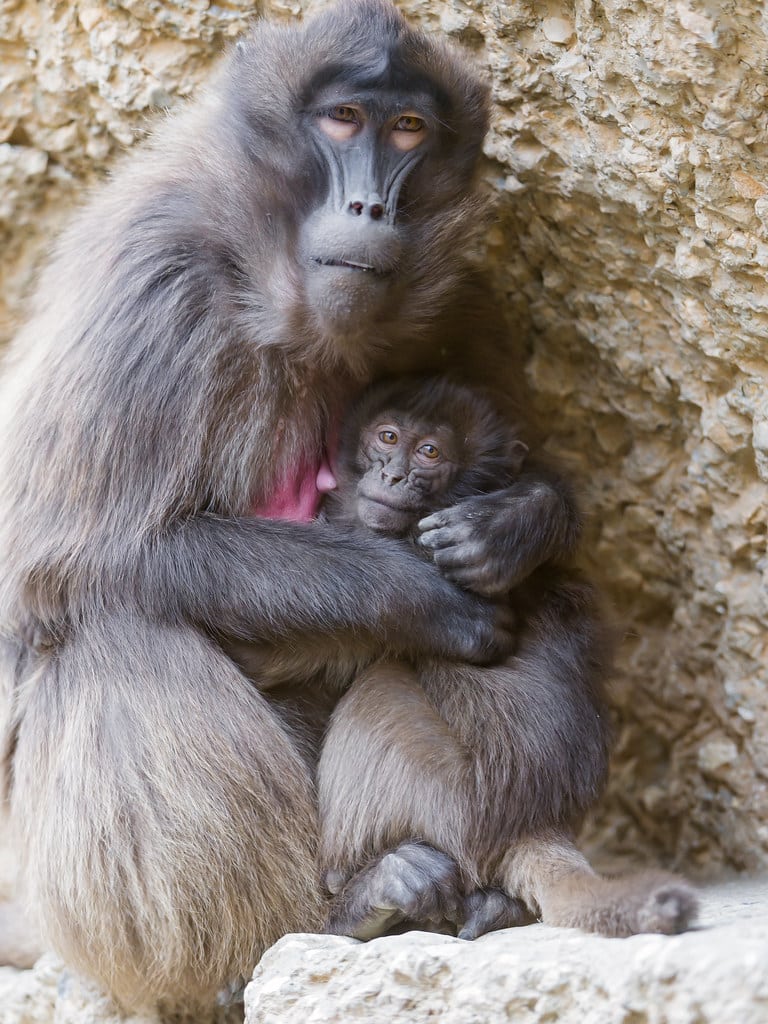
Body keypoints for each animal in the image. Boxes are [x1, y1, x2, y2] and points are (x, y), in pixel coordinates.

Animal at [0, 1, 595, 1013]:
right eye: (344, 120)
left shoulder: (462, 300)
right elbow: (65, 559)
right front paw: (417, 595)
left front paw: (517, 524)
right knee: (109, 624)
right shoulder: (152, 280)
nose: (370, 206)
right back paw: (331, 918)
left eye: (409, 129)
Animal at [312, 376, 698, 942]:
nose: (393, 474)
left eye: (430, 452)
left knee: (380, 685)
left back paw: (353, 904)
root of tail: (533, 821)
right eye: (387, 436)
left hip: (452, 803)